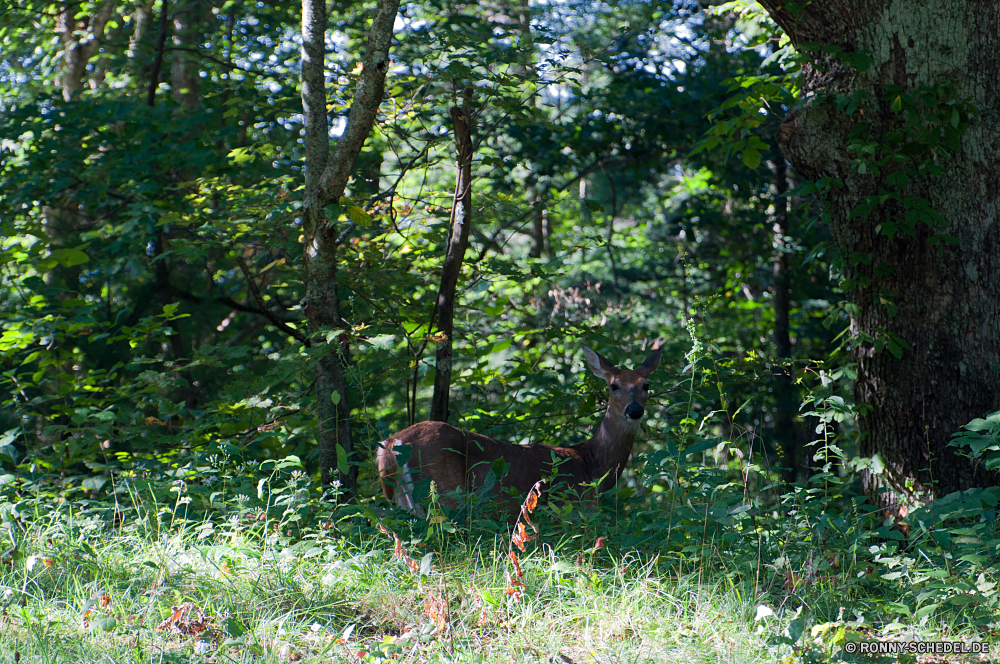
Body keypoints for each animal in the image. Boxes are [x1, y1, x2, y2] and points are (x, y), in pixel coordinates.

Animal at [378, 344, 660, 516]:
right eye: (614, 385)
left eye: (646, 385)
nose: (635, 410)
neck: (592, 465)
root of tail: (393, 443)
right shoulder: (572, 508)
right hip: (442, 491)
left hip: (401, 499)